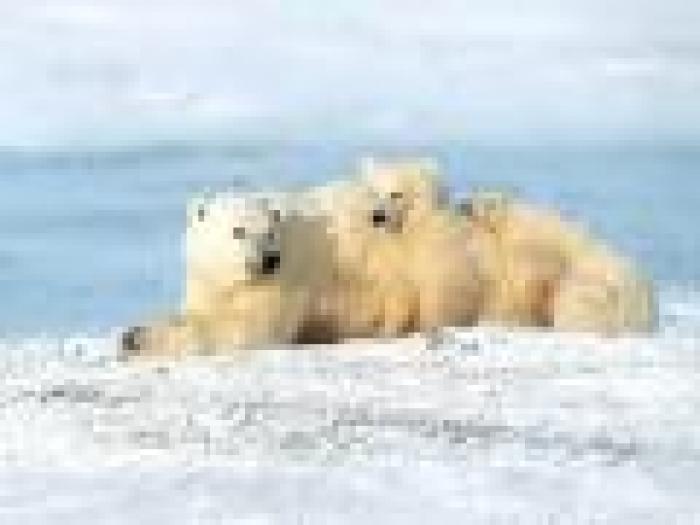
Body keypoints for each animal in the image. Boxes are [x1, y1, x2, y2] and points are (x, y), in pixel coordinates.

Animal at [121, 190, 338, 359]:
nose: (270, 259)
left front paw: (140, 339)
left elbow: (247, 329)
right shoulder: (207, 280)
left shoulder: (289, 280)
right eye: (238, 231)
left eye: (270, 232)